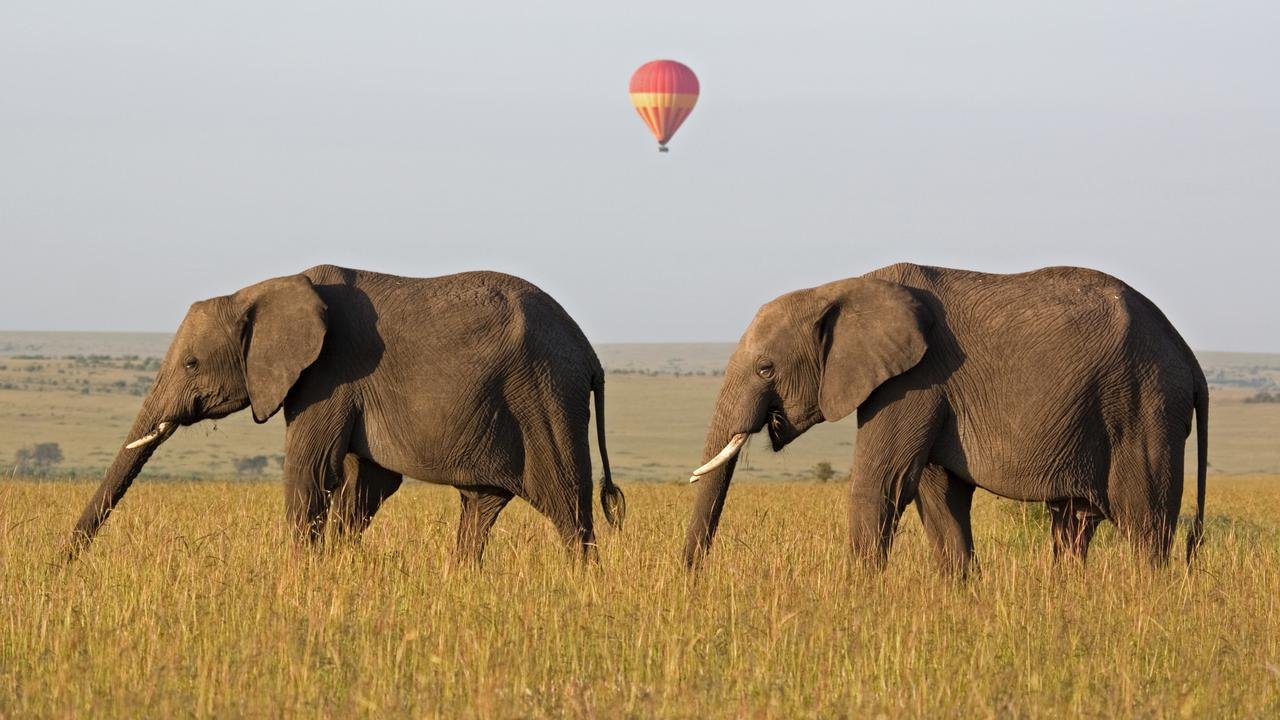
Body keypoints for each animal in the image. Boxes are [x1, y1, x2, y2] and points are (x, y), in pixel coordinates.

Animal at [68, 263, 624, 561]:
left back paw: (582, 586)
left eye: (191, 363)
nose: (64, 564)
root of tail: (590, 355)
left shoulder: (330, 375)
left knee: (567, 506)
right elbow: (364, 483)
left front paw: (298, 578)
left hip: (545, 398)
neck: (262, 289)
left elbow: (311, 472)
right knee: (480, 507)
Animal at [686, 262, 1203, 571]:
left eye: (765, 369)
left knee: (1145, 523)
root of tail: (1188, 354)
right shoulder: (931, 392)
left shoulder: (915, 380)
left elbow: (883, 482)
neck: (845, 287)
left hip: (1143, 405)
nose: (691, 579)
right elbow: (939, 496)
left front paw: (857, 602)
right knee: (1074, 525)